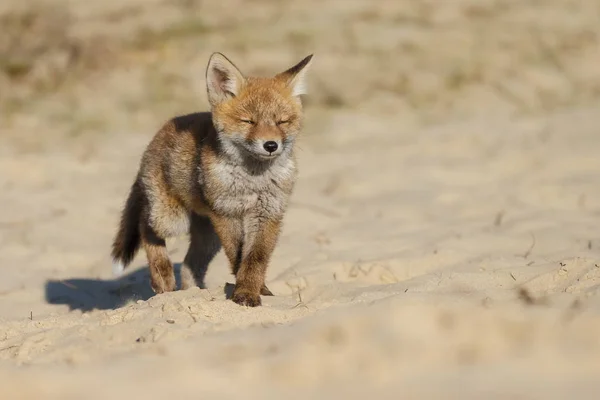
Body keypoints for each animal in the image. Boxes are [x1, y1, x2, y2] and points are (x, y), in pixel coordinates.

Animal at [110, 52, 314, 306]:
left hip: (208, 237)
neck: (252, 182)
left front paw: (254, 290)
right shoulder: (226, 214)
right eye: (248, 121)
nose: (270, 145)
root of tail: (157, 135)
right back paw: (162, 276)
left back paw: (194, 293)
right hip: (171, 220)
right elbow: (238, 257)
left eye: (282, 121)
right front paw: (245, 292)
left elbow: (254, 258)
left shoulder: (268, 214)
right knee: (145, 226)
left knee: (189, 266)